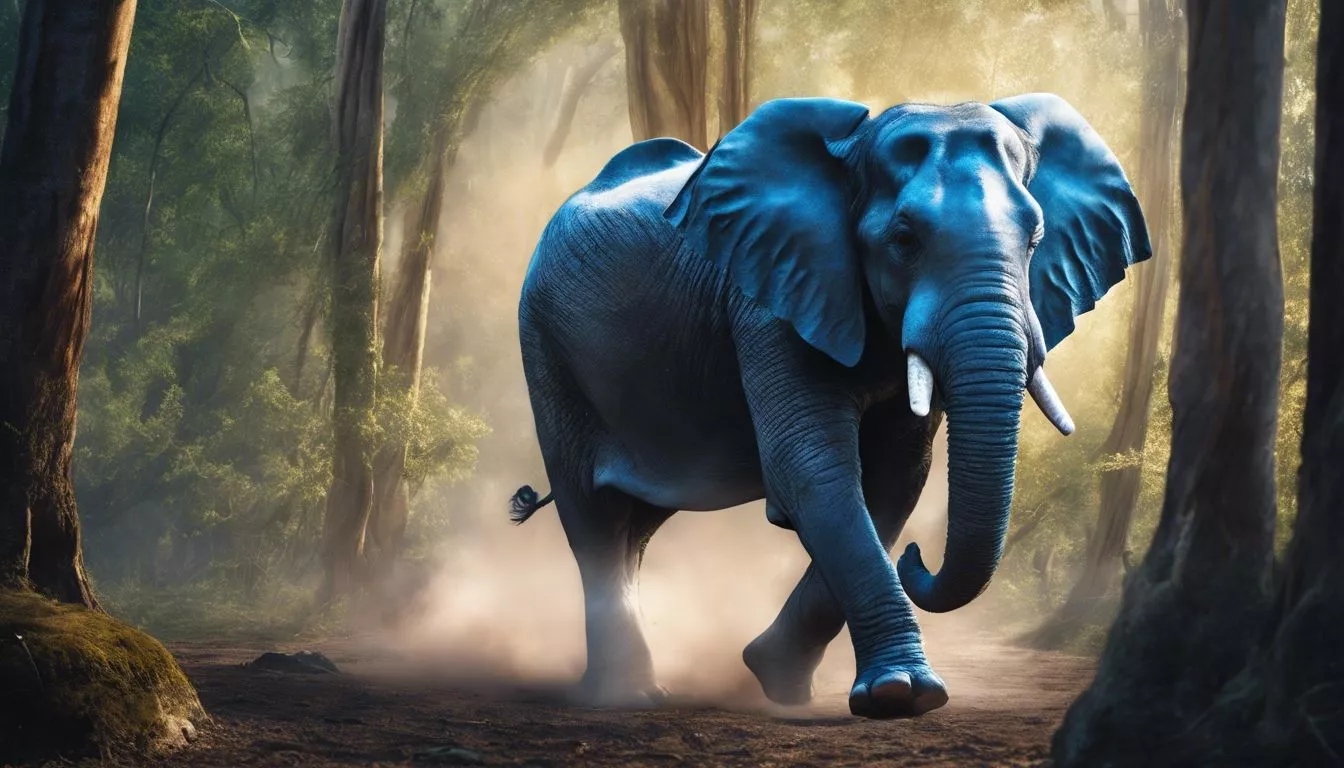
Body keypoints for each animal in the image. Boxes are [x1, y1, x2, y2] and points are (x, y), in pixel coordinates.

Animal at [510, 94, 1149, 719]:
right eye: (904, 241)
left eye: (1035, 241)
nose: (918, 557)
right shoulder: (769, 295)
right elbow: (812, 468)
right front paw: (902, 695)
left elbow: (895, 479)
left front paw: (777, 678)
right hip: (545, 343)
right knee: (593, 516)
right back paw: (624, 697)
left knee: (635, 525)